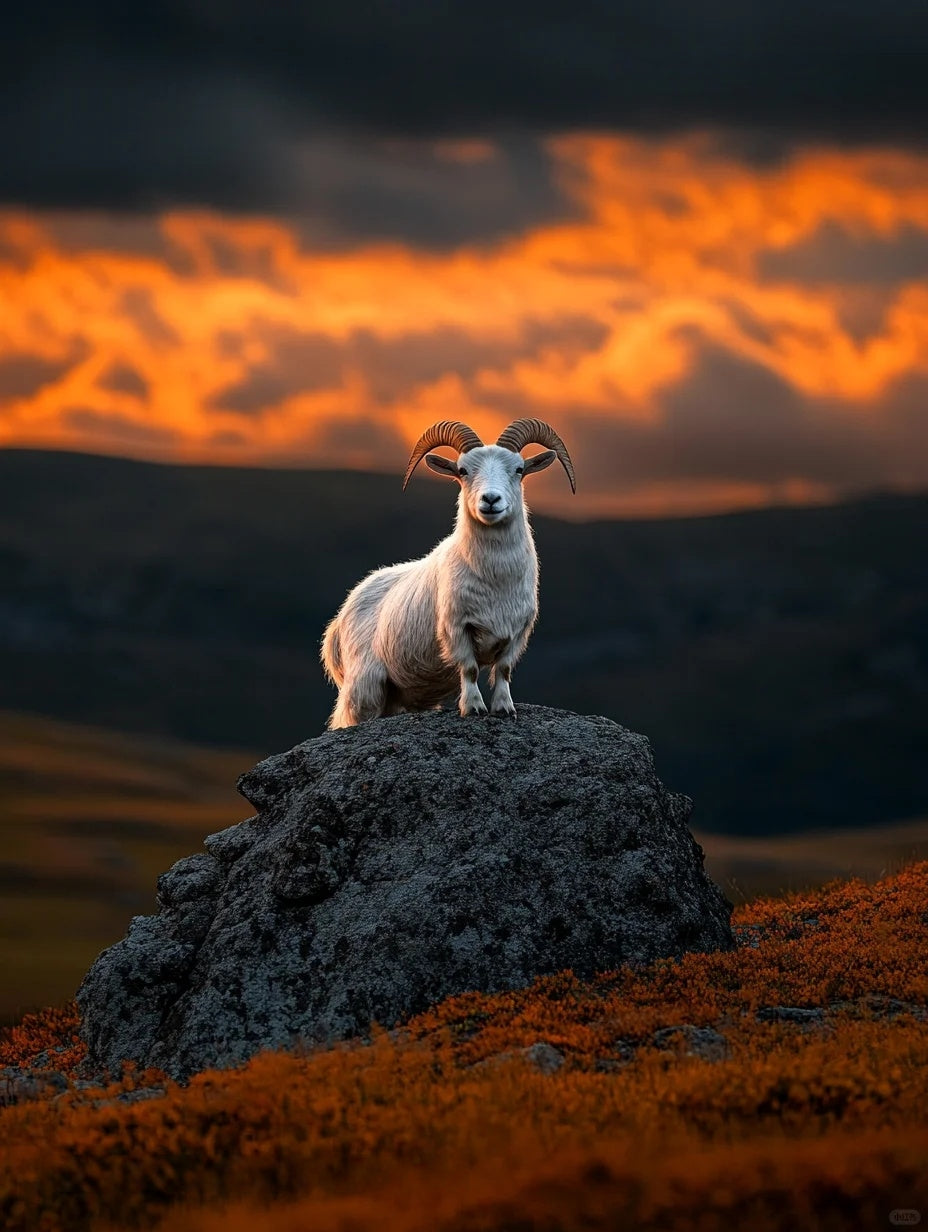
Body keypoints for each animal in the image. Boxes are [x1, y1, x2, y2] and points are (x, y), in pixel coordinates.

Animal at [321, 418, 575, 729]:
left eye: (518, 469)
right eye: (463, 471)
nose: (491, 500)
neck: (495, 578)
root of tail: (339, 620)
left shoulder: (517, 632)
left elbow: (503, 670)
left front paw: (504, 709)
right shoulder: (456, 628)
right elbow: (469, 669)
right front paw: (473, 708)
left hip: (395, 693)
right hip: (364, 687)